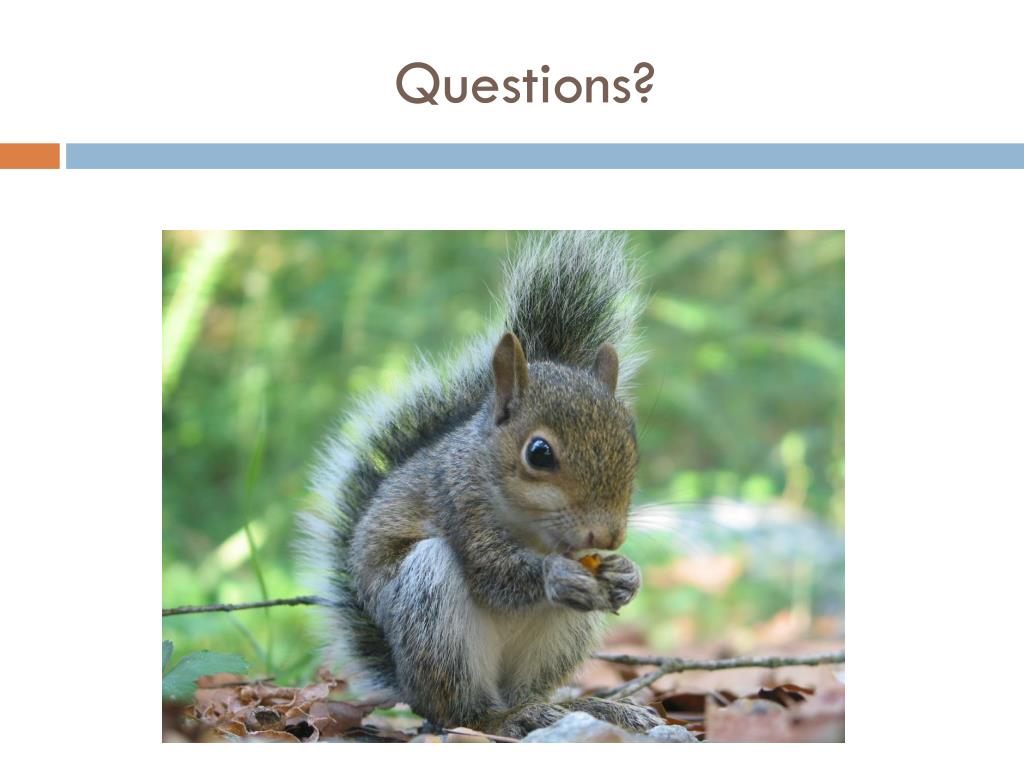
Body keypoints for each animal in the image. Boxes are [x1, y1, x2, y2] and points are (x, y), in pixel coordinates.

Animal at [301, 231, 663, 737]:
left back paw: (587, 708)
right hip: (430, 607)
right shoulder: (459, 502)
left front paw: (627, 573)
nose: (608, 536)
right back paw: (509, 718)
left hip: (562, 637)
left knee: (530, 690)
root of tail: (410, 689)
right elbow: (493, 573)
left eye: (630, 442)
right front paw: (555, 575)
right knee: (465, 712)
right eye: (539, 453)